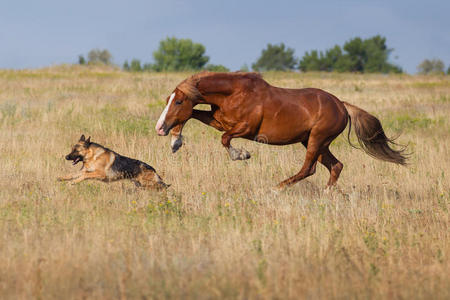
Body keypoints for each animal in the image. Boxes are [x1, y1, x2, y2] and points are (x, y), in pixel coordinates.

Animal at [155, 72, 408, 189]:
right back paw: (327, 195)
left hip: (317, 139)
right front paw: (175, 142)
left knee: (309, 168)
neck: (235, 93)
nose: (159, 128)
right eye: (169, 100)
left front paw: (242, 155)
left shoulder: (245, 128)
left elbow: (225, 139)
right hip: (315, 142)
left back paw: (278, 188)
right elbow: (195, 116)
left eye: (179, 101)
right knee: (335, 166)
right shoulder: (218, 120)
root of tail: (343, 106)